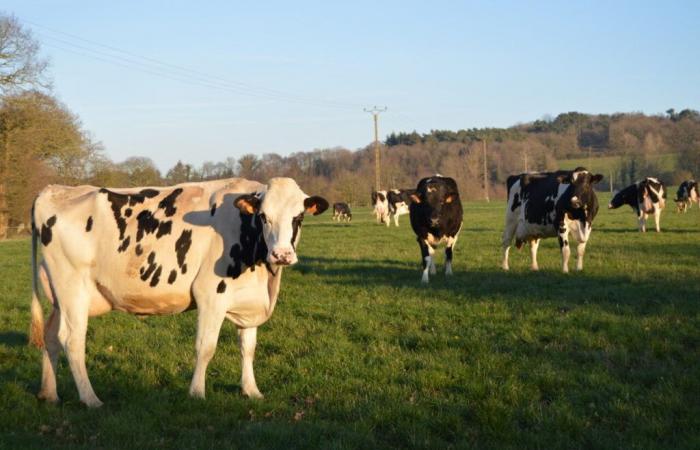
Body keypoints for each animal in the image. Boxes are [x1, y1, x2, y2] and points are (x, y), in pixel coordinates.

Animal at [28, 177, 330, 408]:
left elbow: (248, 348)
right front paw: (197, 393)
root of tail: (54, 189)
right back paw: (91, 399)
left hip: (58, 294)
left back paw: (49, 394)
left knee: (51, 337)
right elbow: (205, 347)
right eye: (264, 216)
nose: (282, 254)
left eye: (298, 217)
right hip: (72, 288)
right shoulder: (211, 295)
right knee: (72, 340)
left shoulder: (248, 301)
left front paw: (251, 390)